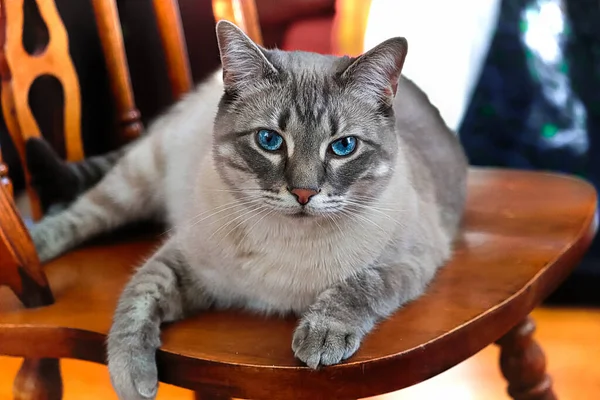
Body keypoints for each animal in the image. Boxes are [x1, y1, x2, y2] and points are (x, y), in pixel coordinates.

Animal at [28, 21, 468, 400]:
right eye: (270, 140)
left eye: (343, 147)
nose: (304, 192)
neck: (290, 247)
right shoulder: (186, 261)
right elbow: (138, 297)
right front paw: (131, 377)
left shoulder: (411, 261)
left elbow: (359, 286)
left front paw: (320, 336)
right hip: (136, 179)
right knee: (80, 214)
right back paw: (34, 248)